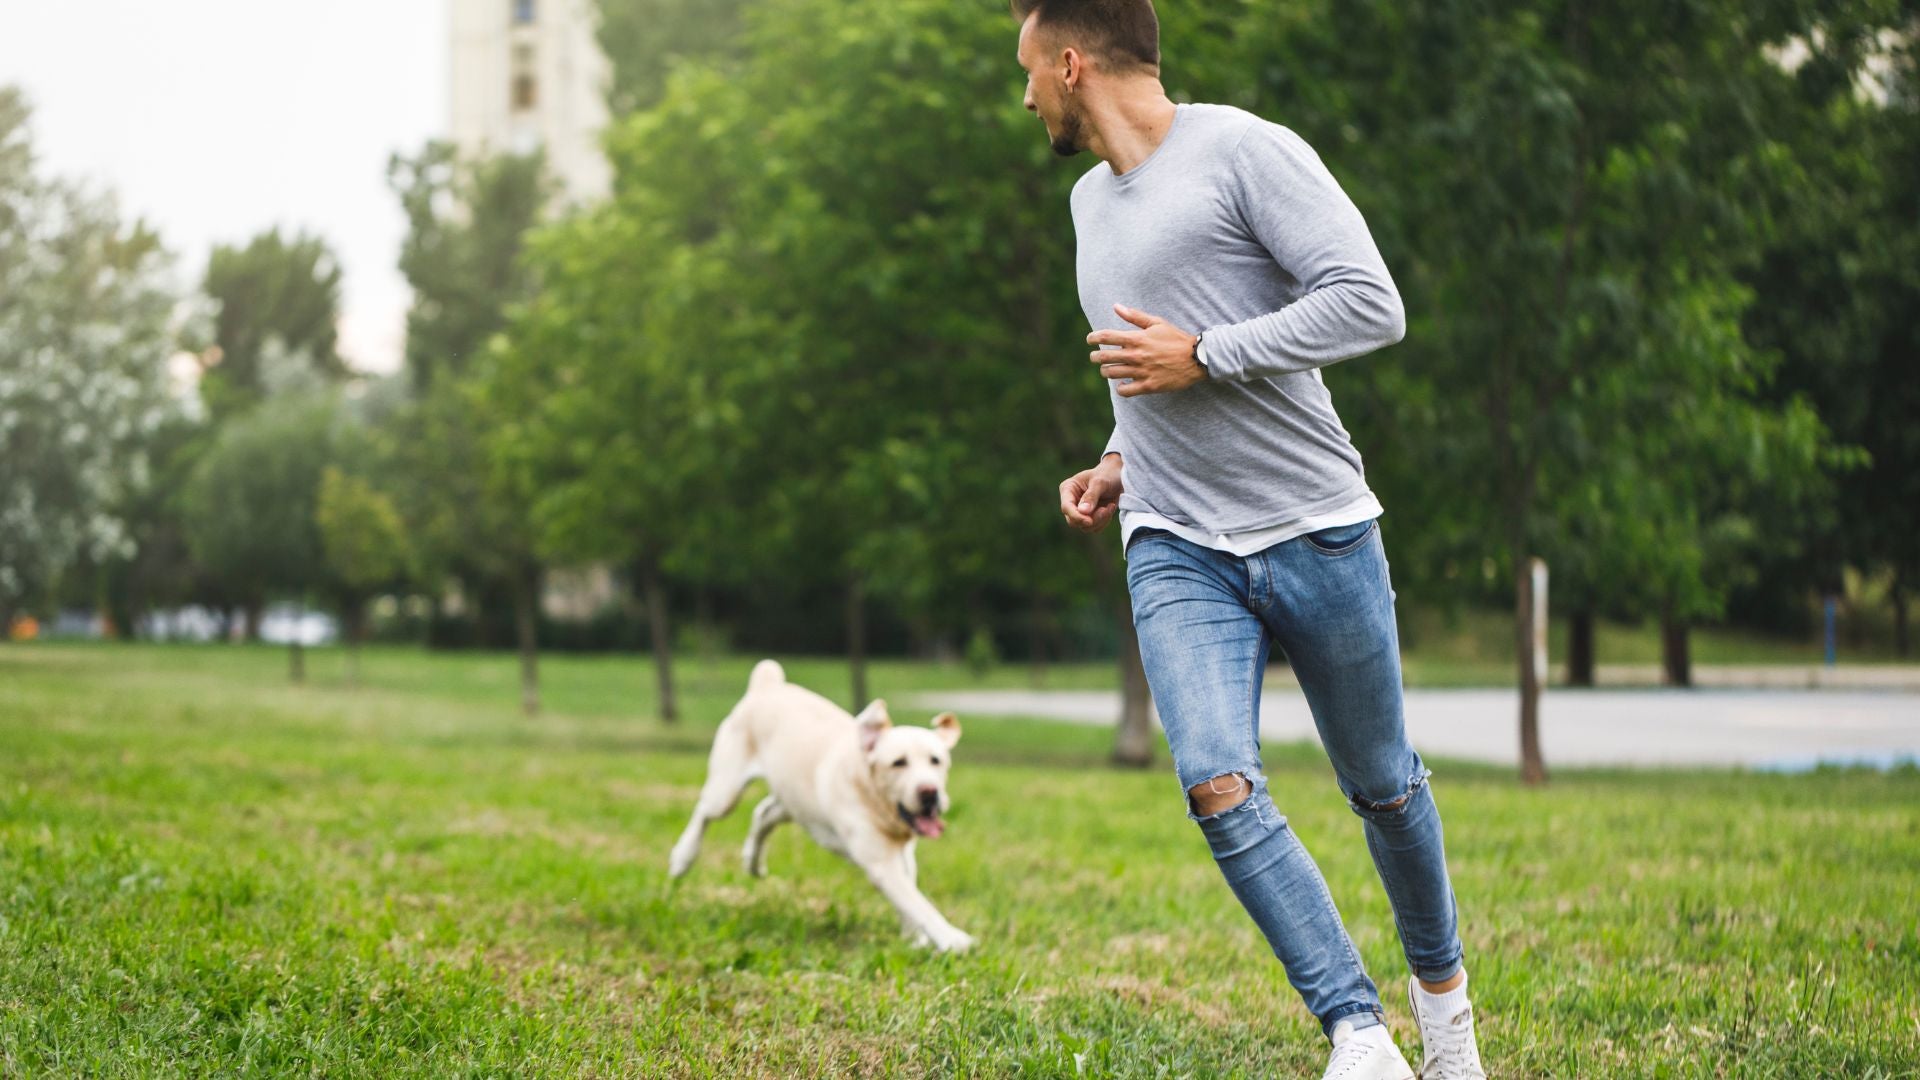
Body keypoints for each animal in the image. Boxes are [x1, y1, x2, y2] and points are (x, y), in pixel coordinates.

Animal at [672, 657, 975, 949]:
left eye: (936, 760)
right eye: (898, 763)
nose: (930, 792)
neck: (873, 796)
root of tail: (767, 684)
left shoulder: (902, 854)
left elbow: (910, 897)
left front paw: (915, 939)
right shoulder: (880, 862)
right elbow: (917, 902)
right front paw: (951, 939)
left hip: (794, 799)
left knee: (764, 813)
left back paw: (753, 861)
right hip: (727, 790)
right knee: (704, 811)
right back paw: (682, 858)